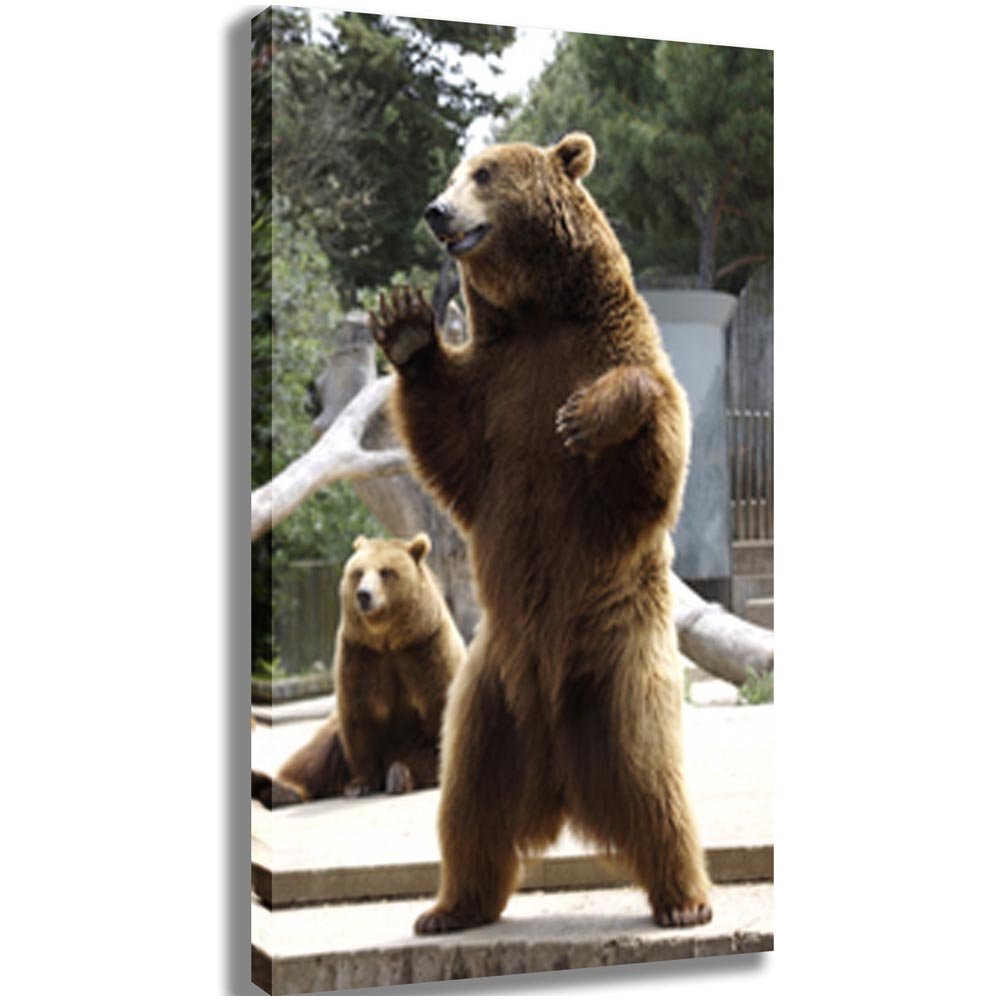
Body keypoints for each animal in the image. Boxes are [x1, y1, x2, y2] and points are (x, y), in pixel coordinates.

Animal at [259, 533, 465, 804]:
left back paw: (398, 774)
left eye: (386, 571)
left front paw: (400, 775)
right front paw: (360, 783)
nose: (364, 595)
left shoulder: (426, 651)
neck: (388, 639)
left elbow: (437, 720)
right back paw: (281, 789)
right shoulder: (360, 657)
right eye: (358, 572)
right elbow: (359, 717)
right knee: (315, 753)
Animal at [368, 132, 712, 932]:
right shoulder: (495, 394)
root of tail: (560, 779)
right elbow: (448, 437)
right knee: (468, 804)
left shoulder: (612, 352)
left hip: (621, 665)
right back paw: (449, 907)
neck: (539, 315)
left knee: (655, 784)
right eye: (456, 172)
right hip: (485, 694)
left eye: (485, 173)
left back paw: (684, 899)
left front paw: (589, 415)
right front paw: (406, 324)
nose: (436, 210)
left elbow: (652, 459)